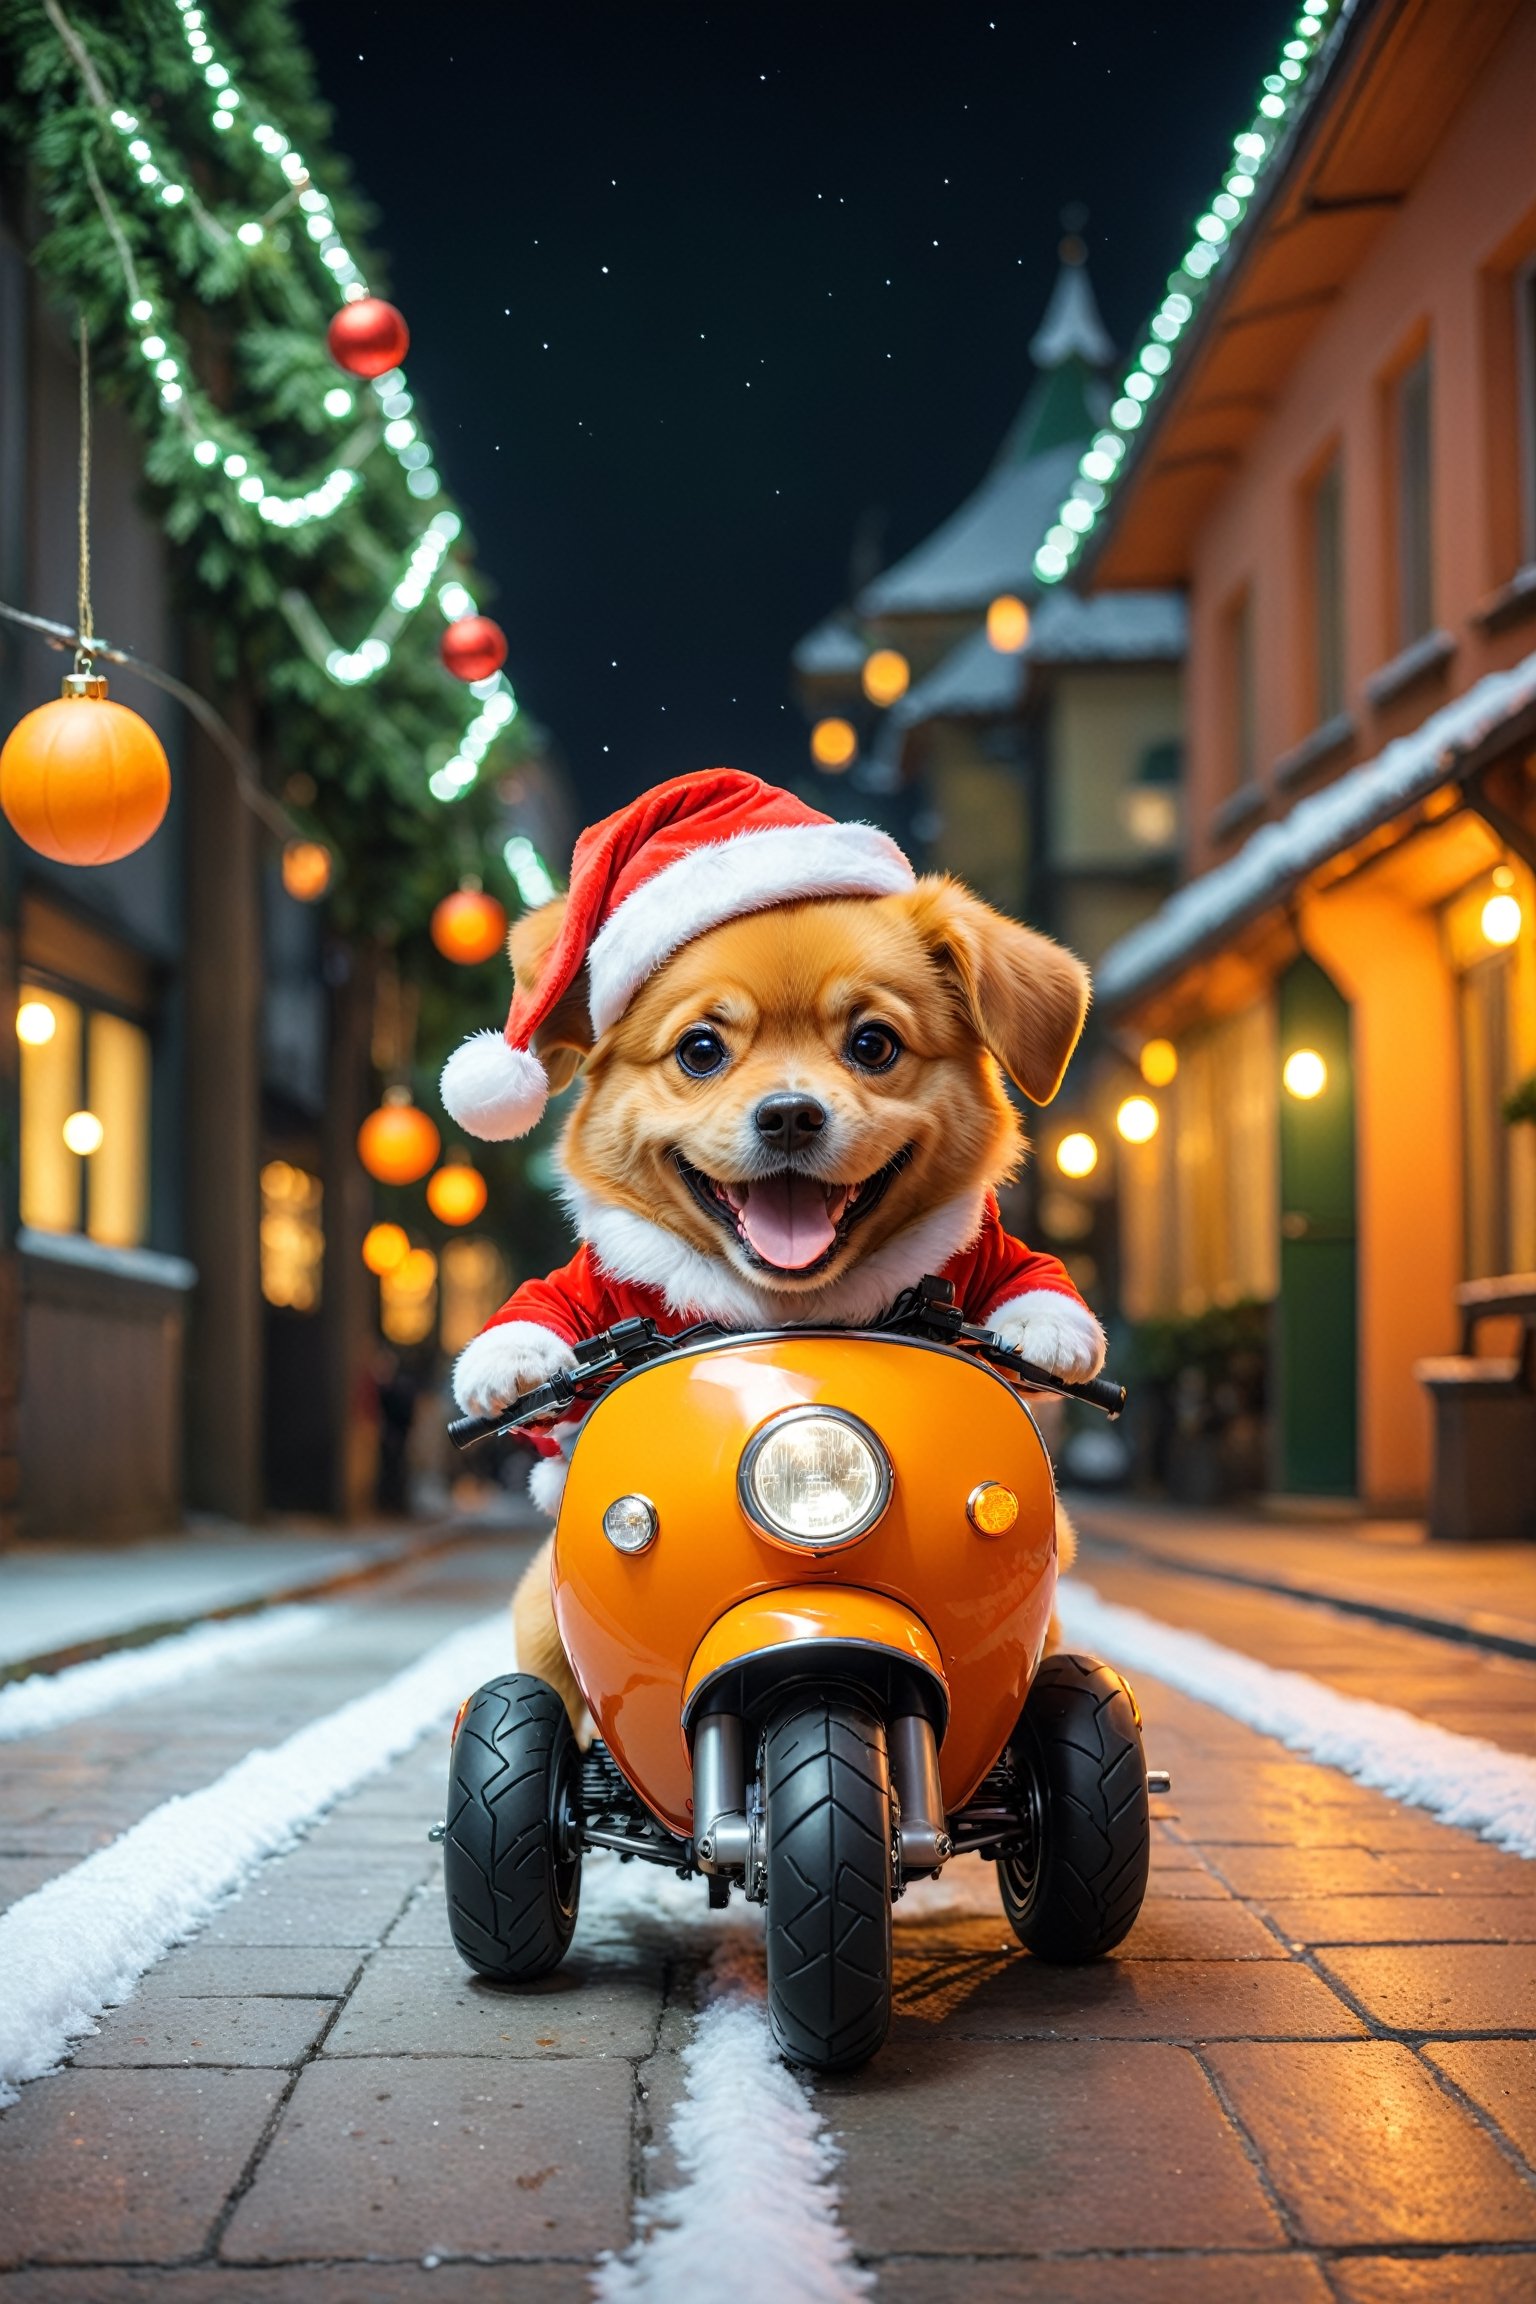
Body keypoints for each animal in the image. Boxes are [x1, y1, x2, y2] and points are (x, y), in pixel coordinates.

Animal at [444, 774, 1105, 1732]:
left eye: (873, 1044)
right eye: (701, 1050)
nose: (790, 1113)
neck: (793, 1306)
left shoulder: (982, 1254)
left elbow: (1029, 1273)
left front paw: (1047, 1332)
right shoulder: (598, 1283)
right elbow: (547, 1304)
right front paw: (511, 1365)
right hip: (538, 1621)